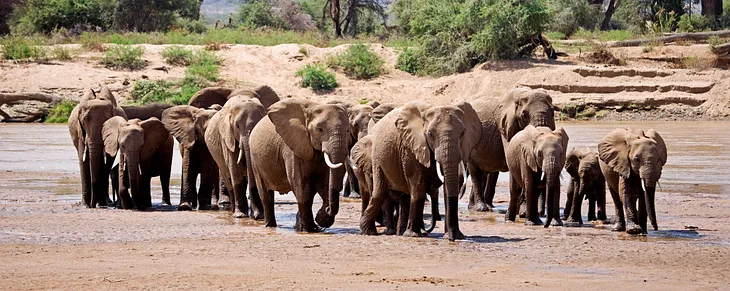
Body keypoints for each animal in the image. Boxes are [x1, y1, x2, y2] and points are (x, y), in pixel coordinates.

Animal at [205, 89, 278, 219]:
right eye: (237, 126)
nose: (257, 215)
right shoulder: (227, 137)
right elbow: (235, 169)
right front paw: (241, 216)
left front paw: (258, 215)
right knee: (228, 177)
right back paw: (233, 211)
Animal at [250, 98, 350, 233]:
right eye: (320, 129)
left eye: (348, 131)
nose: (327, 209)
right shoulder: (293, 147)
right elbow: (301, 187)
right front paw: (310, 230)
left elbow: (324, 185)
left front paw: (320, 220)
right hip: (255, 160)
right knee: (266, 196)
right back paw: (271, 226)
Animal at [356, 101, 478, 241]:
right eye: (430, 134)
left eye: (463, 133)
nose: (451, 239)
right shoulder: (411, 147)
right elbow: (418, 186)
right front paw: (413, 235)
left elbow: (448, 187)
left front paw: (456, 236)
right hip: (378, 157)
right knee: (380, 193)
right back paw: (370, 232)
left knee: (404, 197)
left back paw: (400, 232)